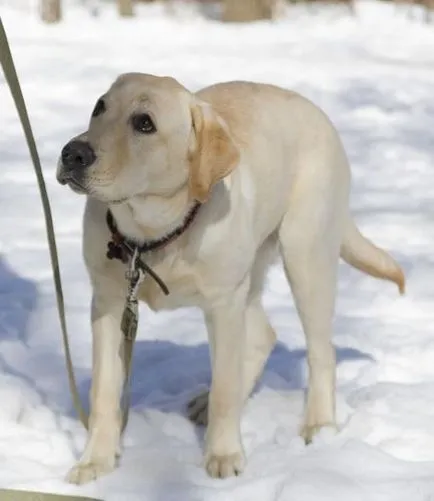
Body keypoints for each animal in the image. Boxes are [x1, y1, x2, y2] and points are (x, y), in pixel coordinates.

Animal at [56, 72, 406, 482]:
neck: (155, 235)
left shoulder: (223, 304)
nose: (72, 153)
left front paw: (223, 456)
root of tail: (318, 113)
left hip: (306, 254)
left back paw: (318, 425)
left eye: (144, 123)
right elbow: (104, 391)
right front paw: (95, 461)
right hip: (250, 272)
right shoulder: (110, 303)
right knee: (263, 336)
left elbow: (225, 385)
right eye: (100, 107)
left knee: (321, 351)